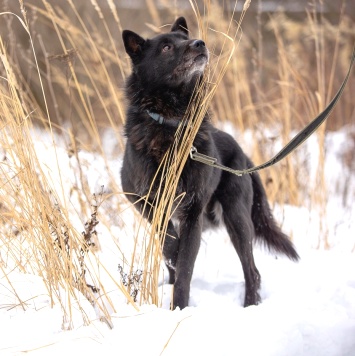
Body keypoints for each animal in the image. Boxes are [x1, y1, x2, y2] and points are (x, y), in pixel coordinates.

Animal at [121, 16, 298, 308]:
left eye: (184, 39)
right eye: (166, 47)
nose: (199, 43)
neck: (173, 123)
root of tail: (243, 154)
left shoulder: (193, 212)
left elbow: (185, 268)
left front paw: (179, 308)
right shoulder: (141, 198)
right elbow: (168, 240)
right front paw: (173, 254)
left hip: (237, 219)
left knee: (253, 270)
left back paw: (250, 305)